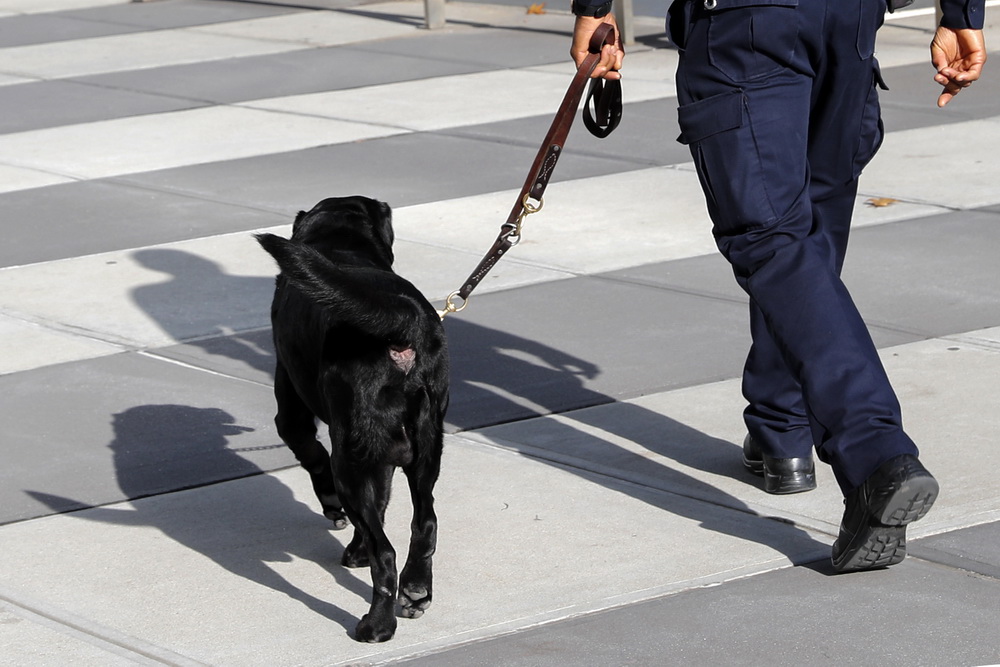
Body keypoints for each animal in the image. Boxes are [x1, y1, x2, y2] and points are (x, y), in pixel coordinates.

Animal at [256, 197, 448, 640]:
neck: (340, 243)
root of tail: (403, 321)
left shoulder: (291, 409)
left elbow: (313, 456)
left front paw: (336, 517)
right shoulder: (385, 461)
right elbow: (383, 506)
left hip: (350, 458)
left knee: (386, 553)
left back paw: (376, 625)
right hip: (425, 451)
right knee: (424, 524)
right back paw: (415, 592)